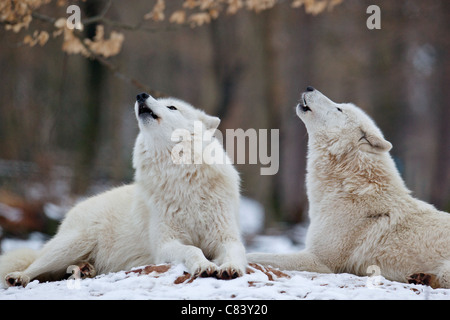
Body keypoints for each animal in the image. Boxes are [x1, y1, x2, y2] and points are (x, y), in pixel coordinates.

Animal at [0, 93, 246, 288]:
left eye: (172, 107)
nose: (141, 95)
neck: (180, 178)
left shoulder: (226, 237)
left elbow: (236, 252)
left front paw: (230, 268)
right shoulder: (166, 244)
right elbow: (193, 250)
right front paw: (204, 266)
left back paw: (85, 270)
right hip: (72, 245)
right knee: (35, 266)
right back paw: (19, 277)